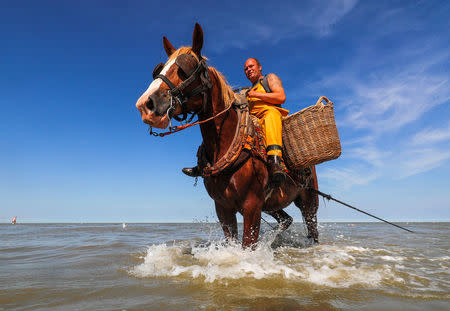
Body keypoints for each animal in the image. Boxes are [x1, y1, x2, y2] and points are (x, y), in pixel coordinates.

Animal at [135, 23, 318, 249]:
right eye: (159, 69)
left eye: (185, 68)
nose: (146, 105)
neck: (227, 144)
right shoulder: (223, 207)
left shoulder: (252, 206)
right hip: (272, 204)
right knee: (286, 219)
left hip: (309, 202)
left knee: (312, 228)